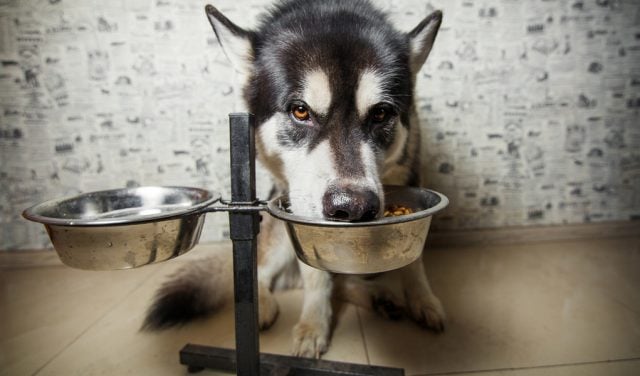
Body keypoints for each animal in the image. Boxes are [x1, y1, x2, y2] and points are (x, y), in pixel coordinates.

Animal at [144, 0, 444, 358]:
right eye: (300, 111)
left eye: (381, 113)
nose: (353, 208)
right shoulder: (300, 215)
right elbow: (315, 275)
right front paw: (314, 326)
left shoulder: (408, 169)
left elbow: (414, 262)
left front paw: (422, 299)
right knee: (260, 271)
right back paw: (263, 305)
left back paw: (379, 297)